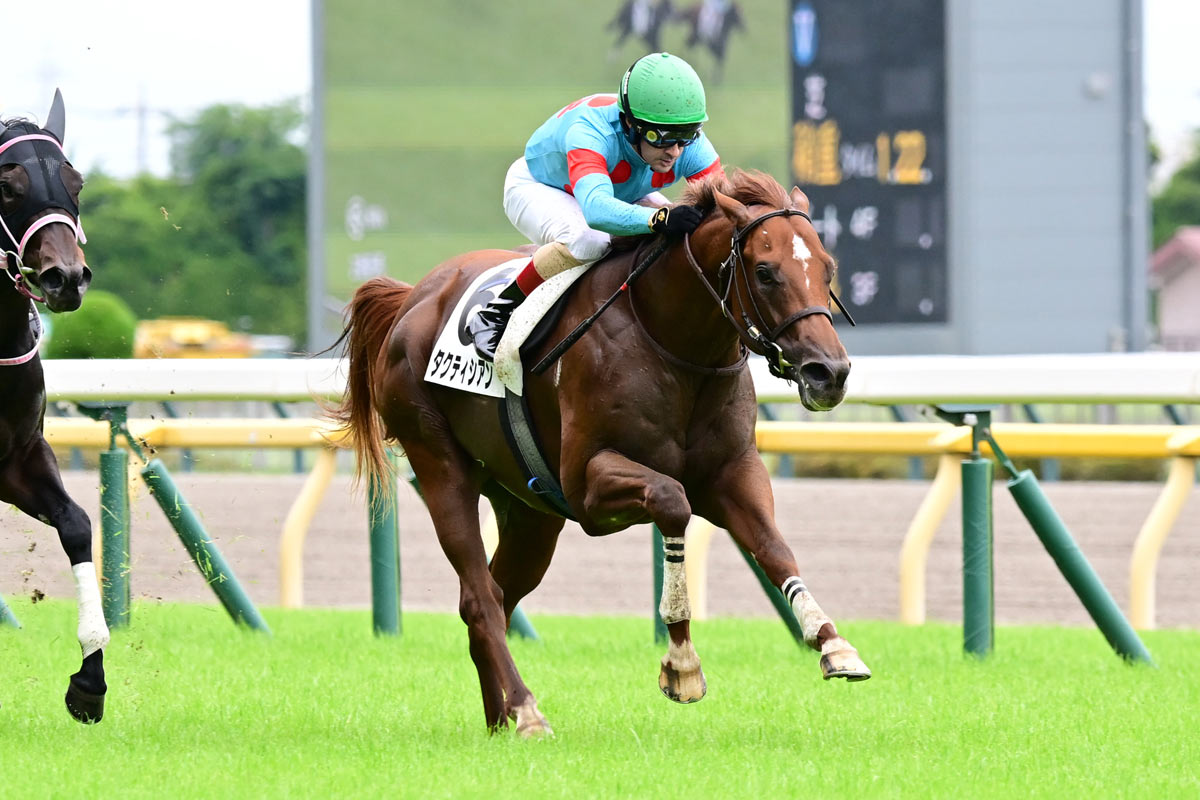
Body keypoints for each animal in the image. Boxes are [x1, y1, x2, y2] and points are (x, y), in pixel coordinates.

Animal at [330, 169, 870, 736]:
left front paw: (834, 644)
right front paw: (682, 662)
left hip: (530, 513)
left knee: (496, 596)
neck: (668, 340)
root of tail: (415, 296)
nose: (829, 372)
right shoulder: (588, 487)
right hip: (439, 464)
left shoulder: (733, 472)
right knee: (480, 597)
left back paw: (500, 719)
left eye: (828, 268)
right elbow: (673, 502)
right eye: (765, 272)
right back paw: (527, 710)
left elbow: (772, 546)